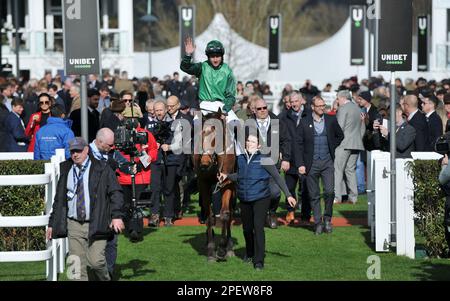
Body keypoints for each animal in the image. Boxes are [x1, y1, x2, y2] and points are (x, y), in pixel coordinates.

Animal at [192, 109, 236, 262]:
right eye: (201, 135)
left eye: (216, 138)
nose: (204, 163)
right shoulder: (204, 184)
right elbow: (210, 217)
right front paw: (211, 250)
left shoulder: (227, 183)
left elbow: (225, 214)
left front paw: (223, 248)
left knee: (230, 212)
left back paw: (229, 246)